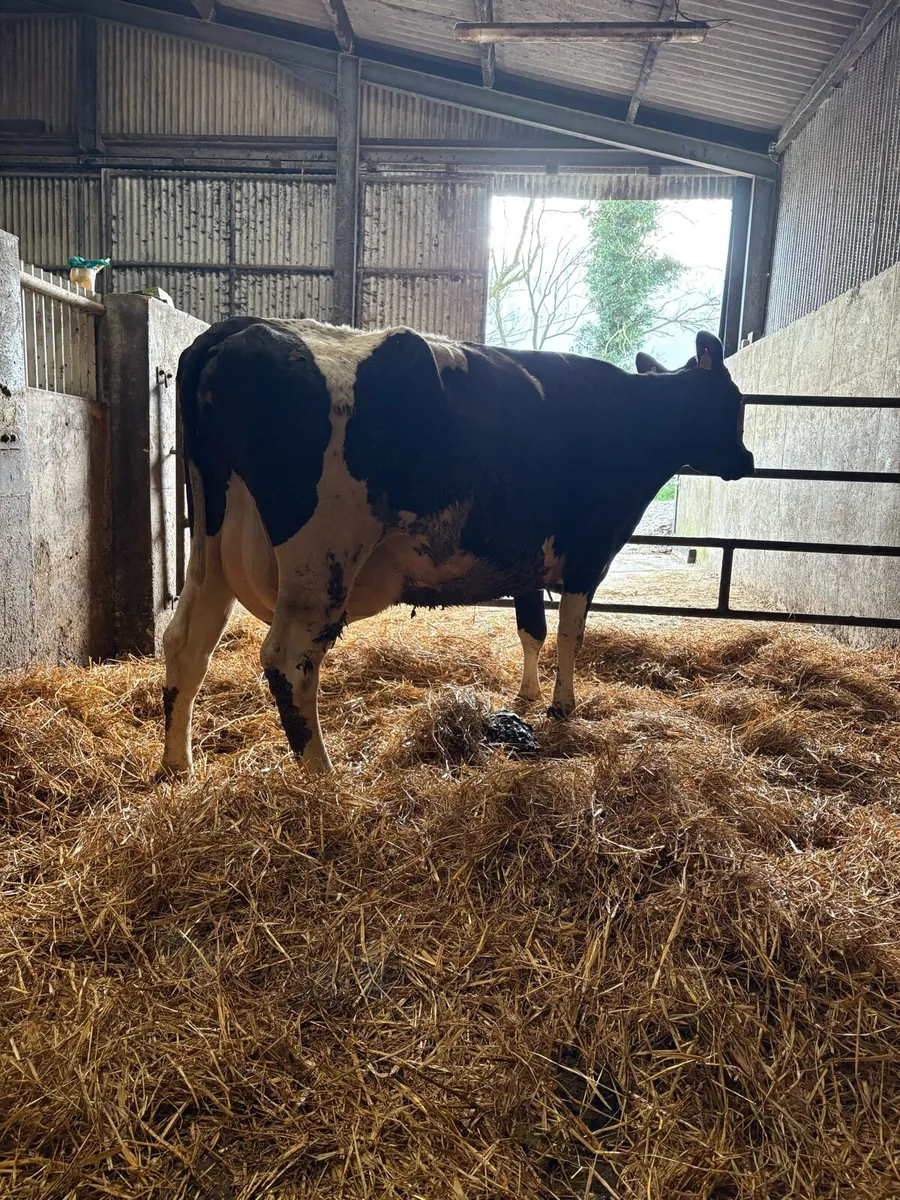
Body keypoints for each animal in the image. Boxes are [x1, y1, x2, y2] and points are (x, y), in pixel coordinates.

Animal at [159, 319, 754, 776]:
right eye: (733, 402)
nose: (746, 460)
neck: (634, 421)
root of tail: (233, 330)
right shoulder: (589, 554)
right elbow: (570, 636)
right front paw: (564, 705)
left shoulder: (526, 559)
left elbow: (533, 630)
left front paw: (528, 697)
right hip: (320, 559)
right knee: (290, 660)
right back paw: (323, 777)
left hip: (210, 547)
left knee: (187, 641)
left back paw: (176, 766)